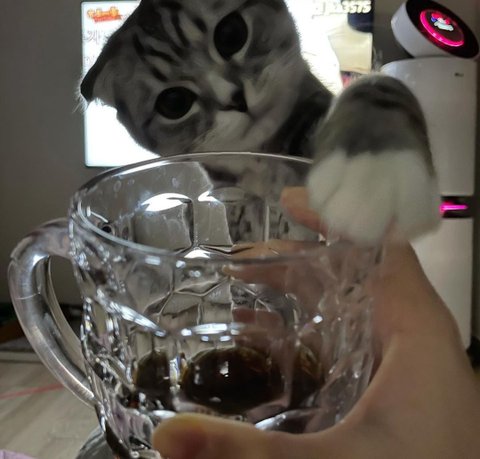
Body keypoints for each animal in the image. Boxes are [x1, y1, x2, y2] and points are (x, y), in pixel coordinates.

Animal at [80, 0, 440, 245]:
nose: (235, 98)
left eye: (231, 34)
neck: (261, 160)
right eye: (174, 103)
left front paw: (374, 172)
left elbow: (377, 87)